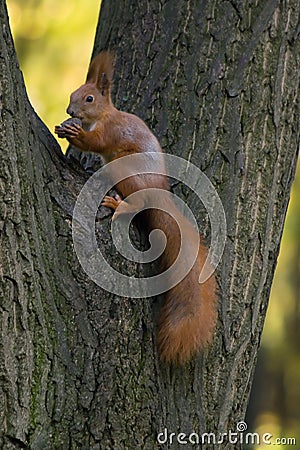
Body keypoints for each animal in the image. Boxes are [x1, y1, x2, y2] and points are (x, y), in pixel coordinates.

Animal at [54, 51, 218, 362]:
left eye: (89, 98)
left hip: (125, 168)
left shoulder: (111, 131)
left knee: (138, 202)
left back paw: (118, 204)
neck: (103, 116)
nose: (69, 111)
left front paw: (73, 134)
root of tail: (160, 194)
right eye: (72, 94)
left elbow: (96, 142)